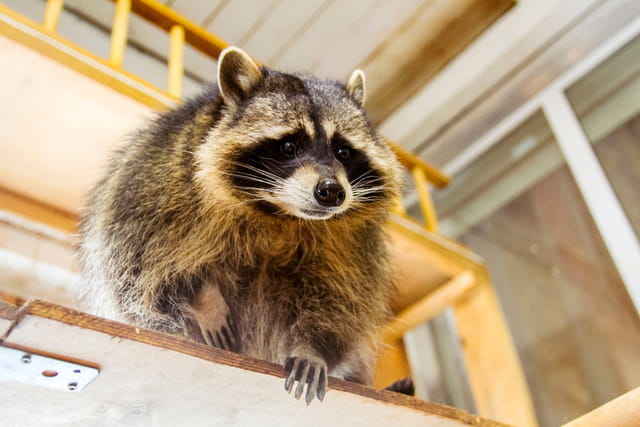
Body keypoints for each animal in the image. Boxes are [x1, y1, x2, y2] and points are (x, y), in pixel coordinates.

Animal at [77, 46, 402, 404]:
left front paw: (312, 349)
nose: (332, 191)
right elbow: (153, 267)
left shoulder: (352, 243)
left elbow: (338, 298)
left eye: (344, 151)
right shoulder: (157, 187)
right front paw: (204, 298)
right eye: (289, 146)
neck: (279, 212)